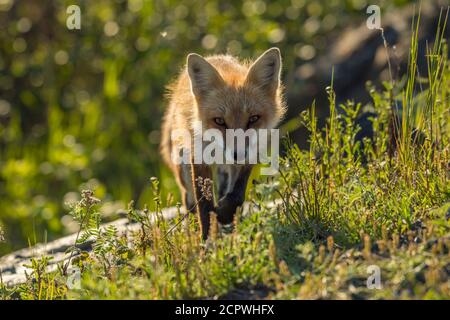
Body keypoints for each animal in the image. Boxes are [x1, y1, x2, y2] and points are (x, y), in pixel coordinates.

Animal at [160, 48, 284, 240]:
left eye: (253, 119)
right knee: (190, 200)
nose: (238, 154)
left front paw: (224, 214)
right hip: (183, 166)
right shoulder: (199, 158)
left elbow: (237, 195)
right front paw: (207, 238)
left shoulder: (252, 153)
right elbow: (204, 205)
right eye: (219, 121)